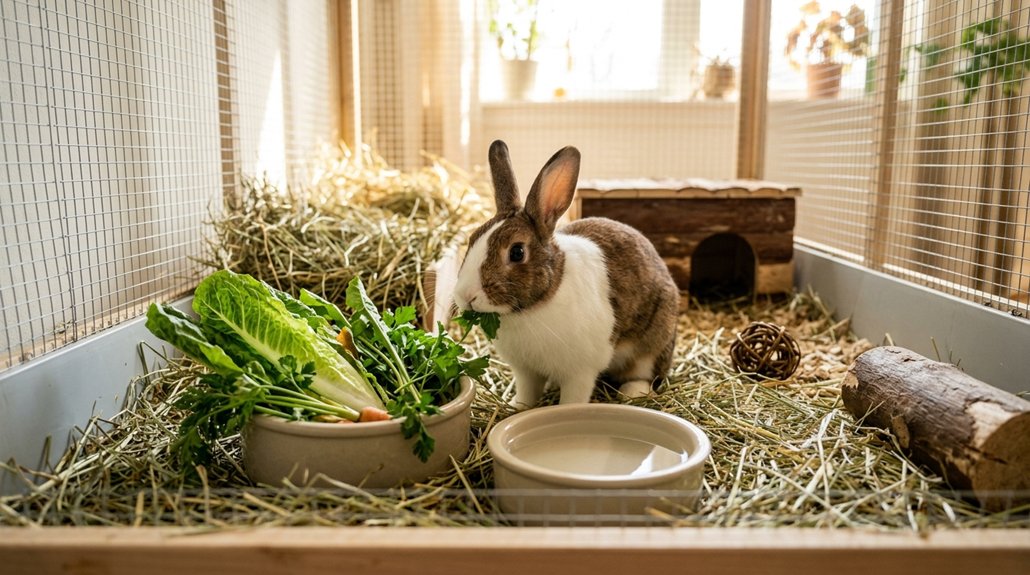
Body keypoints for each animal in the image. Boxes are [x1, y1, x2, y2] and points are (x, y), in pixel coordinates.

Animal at [453, 140, 680, 408]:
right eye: (472, 238)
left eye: (517, 252)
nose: (465, 296)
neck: (535, 305)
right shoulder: (526, 371)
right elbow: (527, 392)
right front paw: (518, 408)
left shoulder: (580, 373)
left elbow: (573, 400)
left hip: (653, 345)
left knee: (644, 373)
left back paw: (632, 392)